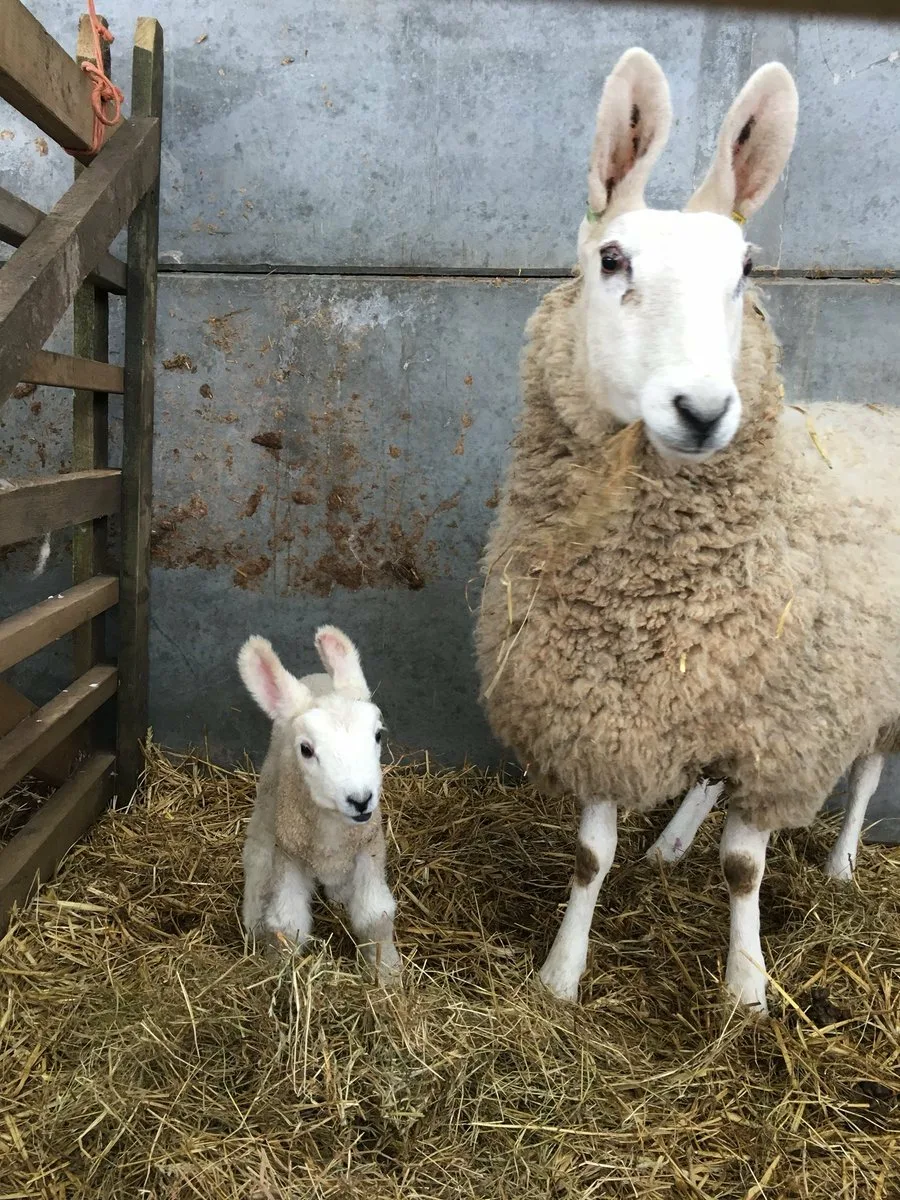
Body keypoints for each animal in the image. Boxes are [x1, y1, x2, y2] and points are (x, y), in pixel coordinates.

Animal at [237, 624, 400, 979]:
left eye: (378, 735)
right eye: (306, 749)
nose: (360, 799)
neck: (332, 831)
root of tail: (316, 677)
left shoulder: (370, 848)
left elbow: (375, 917)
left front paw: (388, 973)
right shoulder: (288, 854)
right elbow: (286, 924)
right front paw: (279, 973)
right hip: (268, 800)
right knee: (256, 855)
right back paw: (252, 919)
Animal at [475, 49, 897, 1012]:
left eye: (744, 268)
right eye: (612, 258)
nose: (703, 412)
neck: (651, 598)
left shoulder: (782, 731)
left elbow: (745, 869)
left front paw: (747, 991)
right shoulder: (604, 707)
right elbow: (590, 855)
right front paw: (561, 974)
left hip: (872, 683)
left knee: (867, 769)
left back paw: (844, 863)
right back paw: (671, 844)